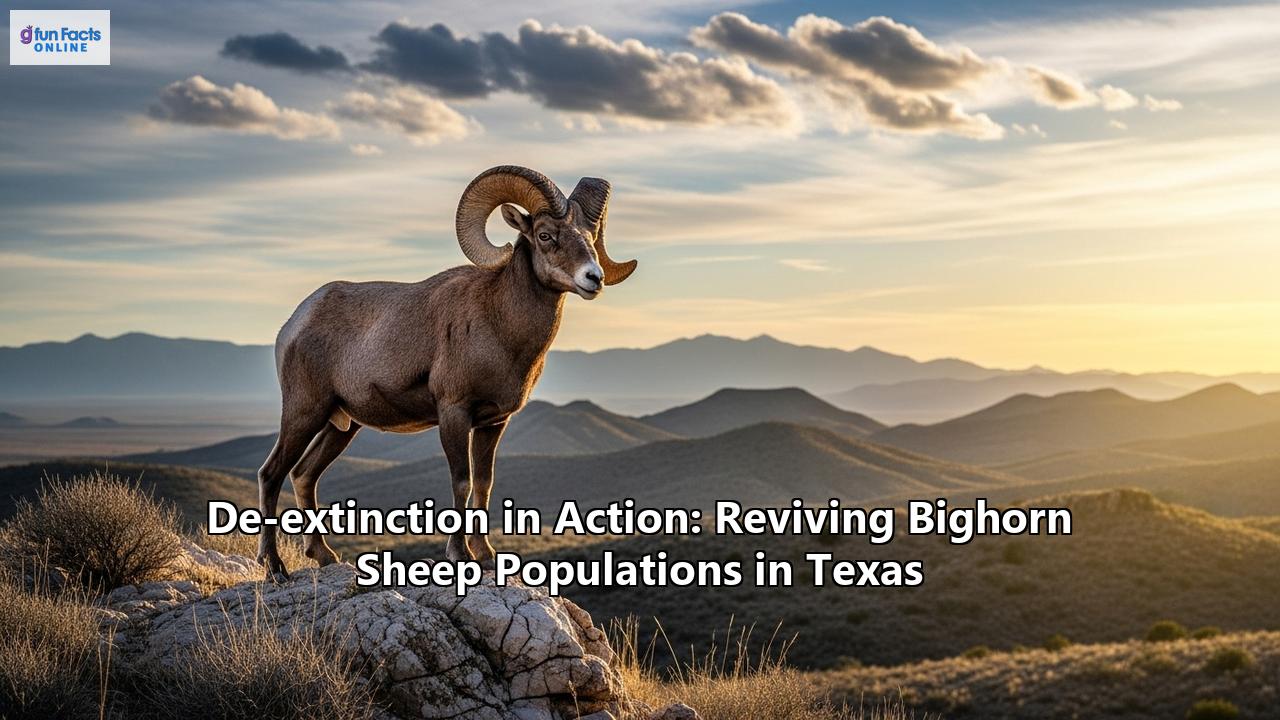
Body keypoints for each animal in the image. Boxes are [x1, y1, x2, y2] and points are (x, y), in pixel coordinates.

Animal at [256, 165, 636, 581]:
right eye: (545, 235)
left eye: (590, 237)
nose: (593, 278)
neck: (498, 326)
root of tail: (295, 323)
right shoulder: (454, 413)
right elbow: (462, 482)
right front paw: (461, 556)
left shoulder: (493, 423)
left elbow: (484, 485)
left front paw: (486, 556)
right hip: (304, 412)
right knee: (271, 474)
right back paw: (274, 567)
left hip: (341, 425)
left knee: (304, 475)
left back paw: (324, 556)